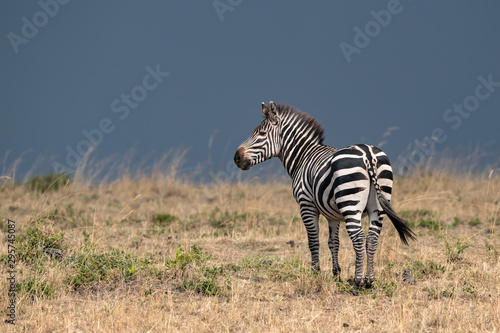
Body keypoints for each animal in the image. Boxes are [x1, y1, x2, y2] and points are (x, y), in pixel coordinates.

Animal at [232, 101, 416, 290]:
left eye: (261, 134)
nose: (236, 157)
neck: (303, 156)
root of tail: (368, 155)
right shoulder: (332, 214)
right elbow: (333, 242)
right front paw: (336, 274)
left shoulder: (306, 205)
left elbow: (313, 241)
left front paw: (315, 273)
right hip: (378, 206)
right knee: (371, 238)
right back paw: (369, 281)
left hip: (350, 204)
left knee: (358, 238)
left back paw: (358, 282)